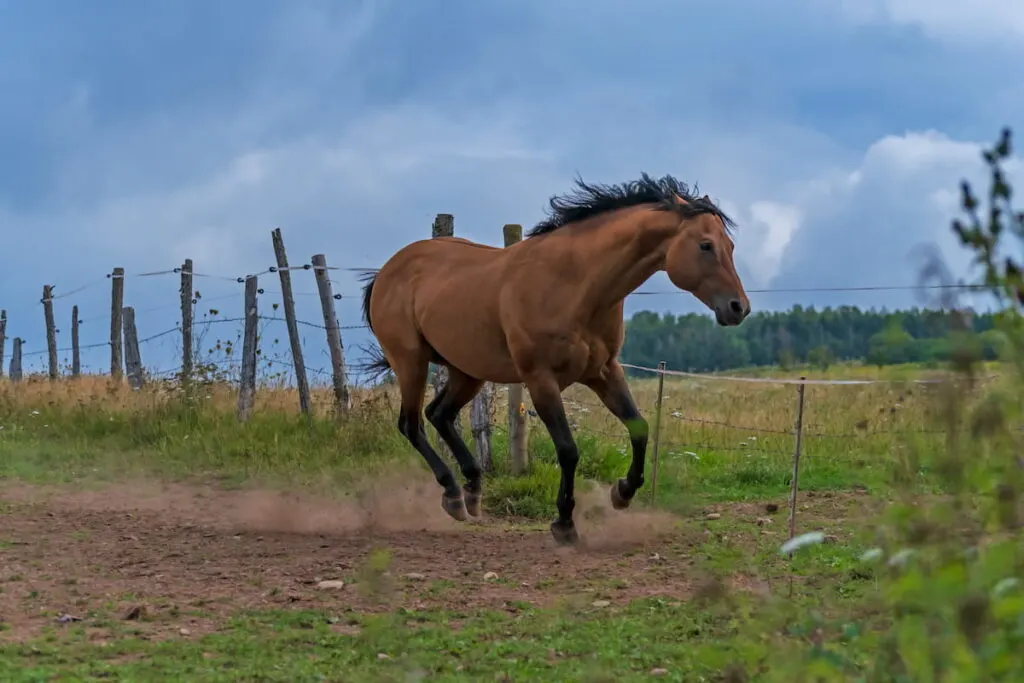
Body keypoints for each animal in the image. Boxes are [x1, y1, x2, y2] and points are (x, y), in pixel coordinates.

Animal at [364, 175, 749, 544]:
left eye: (730, 246)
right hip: (411, 362)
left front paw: (622, 493)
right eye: (706, 245)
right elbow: (568, 450)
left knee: (439, 415)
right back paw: (453, 492)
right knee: (412, 424)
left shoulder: (604, 371)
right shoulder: (541, 379)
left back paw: (469, 492)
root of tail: (386, 271)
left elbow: (639, 428)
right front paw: (564, 523)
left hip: (466, 371)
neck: (575, 285)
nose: (739, 308)